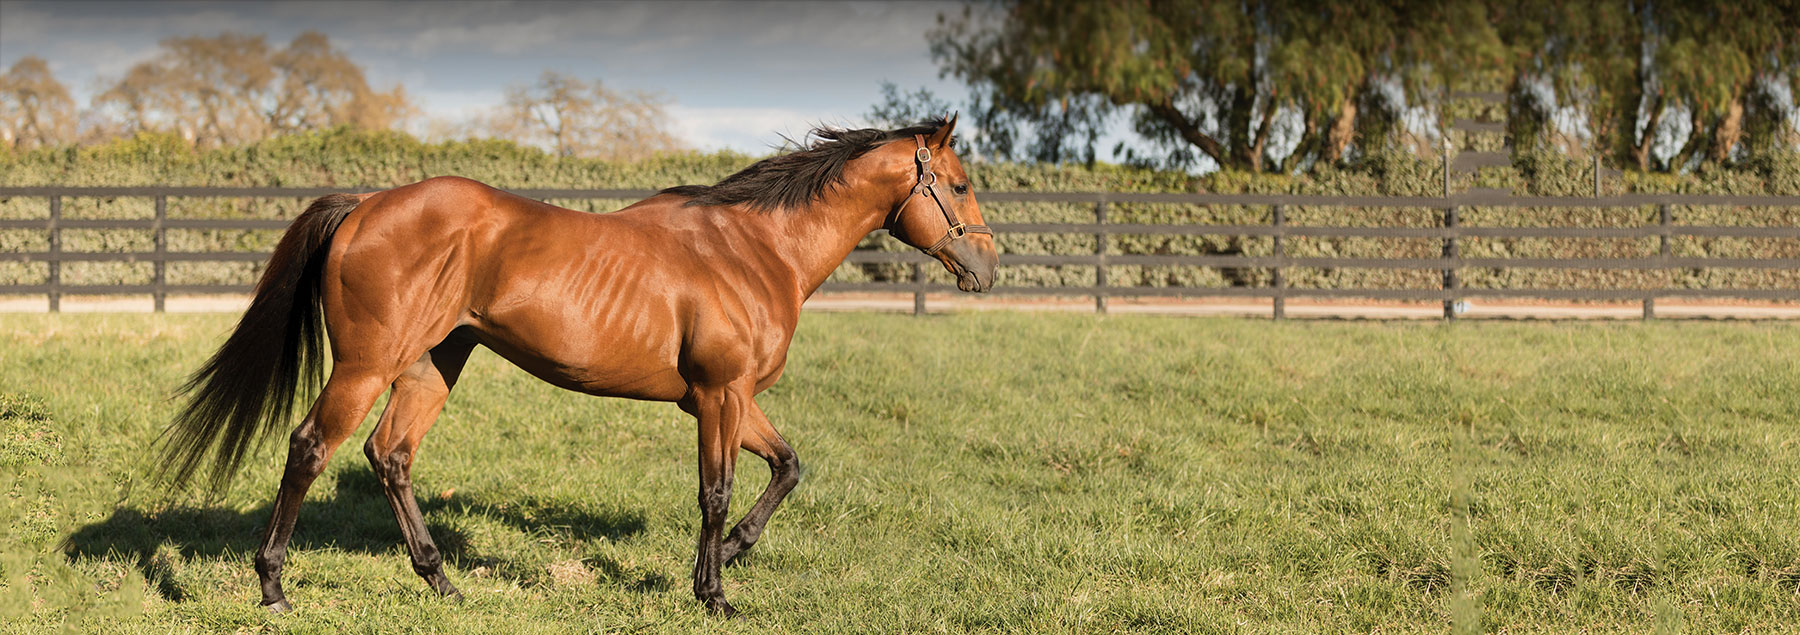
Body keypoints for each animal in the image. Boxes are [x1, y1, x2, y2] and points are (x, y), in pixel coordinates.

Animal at [156, 115, 1000, 611]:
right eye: (958, 184)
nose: (988, 269)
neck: (752, 250)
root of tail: (364, 204)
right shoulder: (720, 396)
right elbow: (716, 491)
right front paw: (714, 593)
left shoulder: (729, 397)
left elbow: (787, 467)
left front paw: (729, 557)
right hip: (366, 364)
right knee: (311, 447)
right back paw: (273, 587)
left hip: (432, 365)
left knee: (389, 454)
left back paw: (442, 580)